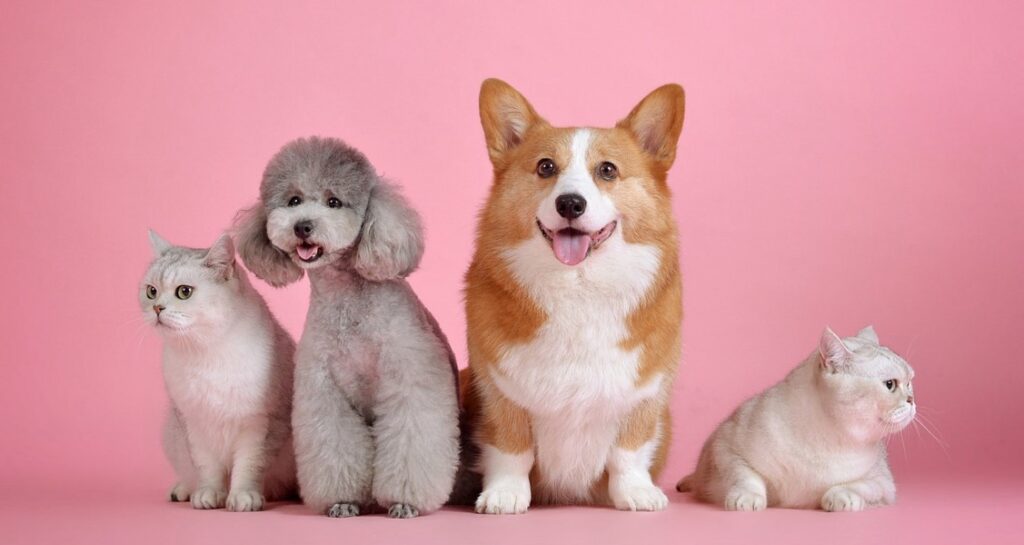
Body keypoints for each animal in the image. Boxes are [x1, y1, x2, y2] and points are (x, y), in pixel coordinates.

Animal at [138, 230, 296, 510]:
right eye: (151, 291)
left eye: (184, 292)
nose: (157, 308)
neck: (205, 352)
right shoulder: (193, 423)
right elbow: (207, 467)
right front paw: (209, 494)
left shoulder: (260, 424)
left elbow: (249, 465)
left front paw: (243, 496)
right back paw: (181, 491)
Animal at [464, 78, 688, 512]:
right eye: (545, 167)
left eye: (608, 170)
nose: (570, 203)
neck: (579, 287)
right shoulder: (497, 390)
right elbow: (511, 448)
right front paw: (504, 495)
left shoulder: (647, 392)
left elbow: (629, 450)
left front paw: (636, 493)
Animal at [679, 327, 913, 510]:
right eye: (890, 384)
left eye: (910, 382)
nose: (912, 400)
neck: (829, 438)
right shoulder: (726, 446)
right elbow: (745, 476)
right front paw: (747, 498)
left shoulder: (883, 482)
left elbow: (857, 485)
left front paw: (841, 497)